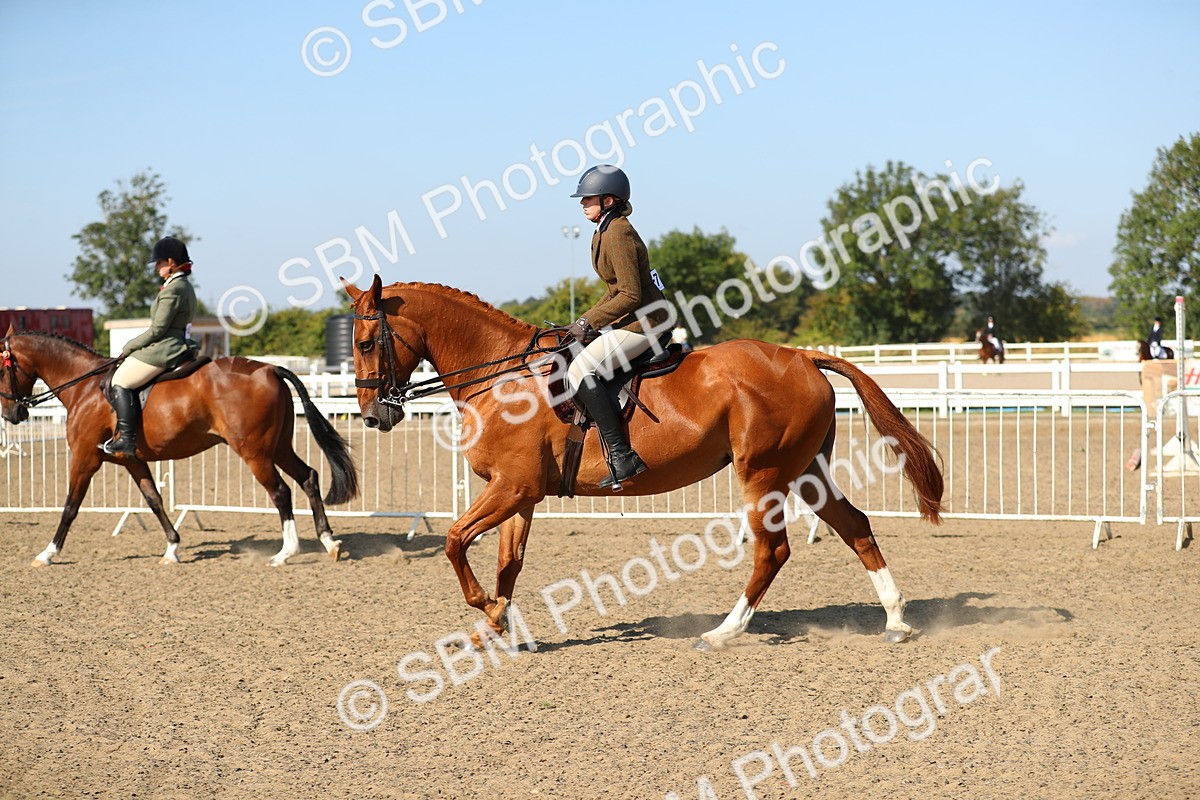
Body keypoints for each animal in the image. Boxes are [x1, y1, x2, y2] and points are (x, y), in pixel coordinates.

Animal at [0, 329, 358, 567]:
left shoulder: (85, 458)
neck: (83, 386)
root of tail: (271, 368)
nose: (11, 414)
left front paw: (48, 552)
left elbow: (70, 506)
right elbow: (154, 500)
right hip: (278, 447)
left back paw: (286, 552)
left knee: (281, 492)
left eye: (2, 368)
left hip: (255, 452)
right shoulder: (132, 460)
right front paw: (172, 548)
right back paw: (329, 542)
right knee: (308, 477)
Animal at [342, 275, 944, 650]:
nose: (372, 416)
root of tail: (801, 356)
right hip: (805, 471)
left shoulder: (512, 489)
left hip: (763, 474)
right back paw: (896, 620)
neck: (502, 376)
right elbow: (507, 563)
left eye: (368, 342)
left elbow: (453, 541)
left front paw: (484, 609)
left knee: (773, 550)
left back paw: (723, 632)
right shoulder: (519, 495)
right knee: (854, 526)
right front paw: (492, 622)